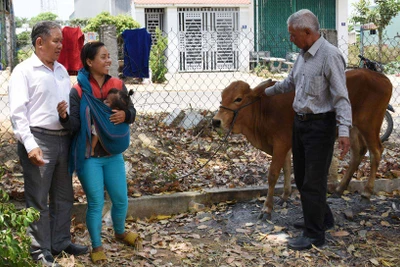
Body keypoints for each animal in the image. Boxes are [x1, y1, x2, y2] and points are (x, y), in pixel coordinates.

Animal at [214, 68, 392, 220]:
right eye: (222, 97)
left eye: (238, 99)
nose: (216, 121)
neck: (263, 108)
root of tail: (381, 77)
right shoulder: (285, 144)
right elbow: (286, 169)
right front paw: (285, 196)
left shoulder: (280, 143)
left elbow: (273, 175)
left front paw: (267, 209)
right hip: (351, 128)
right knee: (358, 152)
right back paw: (340, 189)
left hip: (369, 125)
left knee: (376, 151)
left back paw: (366, 193)